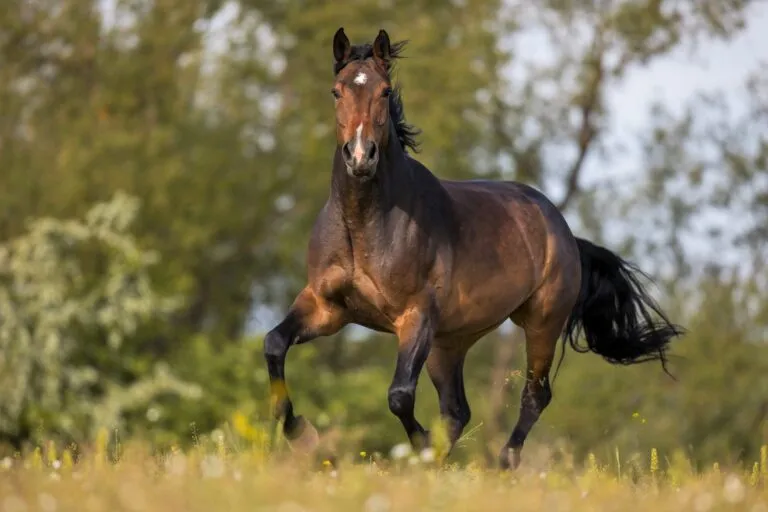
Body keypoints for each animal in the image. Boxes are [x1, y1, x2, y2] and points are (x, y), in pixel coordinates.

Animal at [264, 27, 683, 469]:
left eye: (384, 91)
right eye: (336, 91)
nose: (360, 157)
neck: (365, 227)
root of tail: (563, 230)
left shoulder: (414, 317)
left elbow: (399, 396)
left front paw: (417, 445)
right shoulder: (327, 308)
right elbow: (274, 344)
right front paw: (300, 433)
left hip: (540, 323)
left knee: (534, 395)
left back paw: (502, 463)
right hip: (449, 343)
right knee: (458, 410)